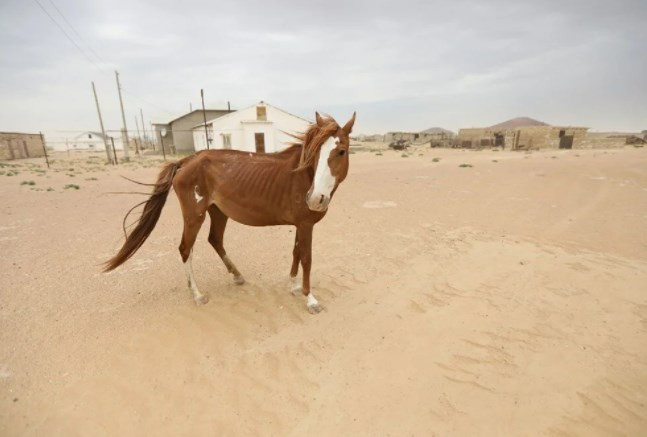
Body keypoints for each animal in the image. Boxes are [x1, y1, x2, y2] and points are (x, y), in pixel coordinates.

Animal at [104, 110, 356, 312]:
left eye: (342, 151)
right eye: (316, 153)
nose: (315, 199)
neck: (303, 174)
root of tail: (186, 161)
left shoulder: (300, 224)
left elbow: (295, 253)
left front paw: (293, 286)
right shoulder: (305, 225)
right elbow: (306, 258)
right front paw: (310, 299)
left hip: (218, 212)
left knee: (215, 240)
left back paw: (236, 275)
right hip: (194, 215)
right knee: (186, 249)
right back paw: (197, 295)